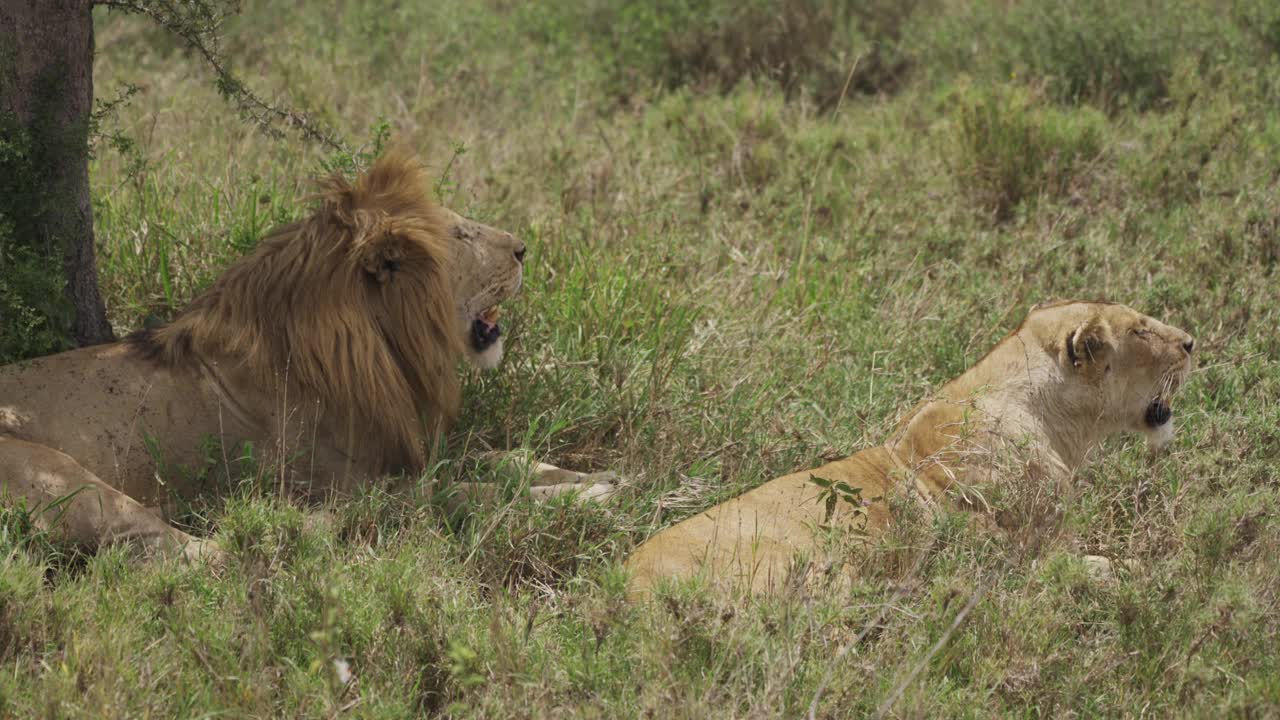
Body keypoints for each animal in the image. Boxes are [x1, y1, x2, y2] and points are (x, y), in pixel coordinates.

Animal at [1, 148, 609, 558]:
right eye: (461, 236)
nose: (524, 248)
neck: (380, 346)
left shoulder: (401, 448)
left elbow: (498, 458)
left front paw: (585, 475)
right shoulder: (354, 479)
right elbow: (462, 492)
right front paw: (587, 498)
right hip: (65, 480)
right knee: (201, 555)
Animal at [624, 298, 1192, 594]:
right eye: (1141, 330)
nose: (1191, 342)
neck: (1054, 421)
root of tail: (627, 587)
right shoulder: (1025, 555)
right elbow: (1114, 569)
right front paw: (1173, 578)